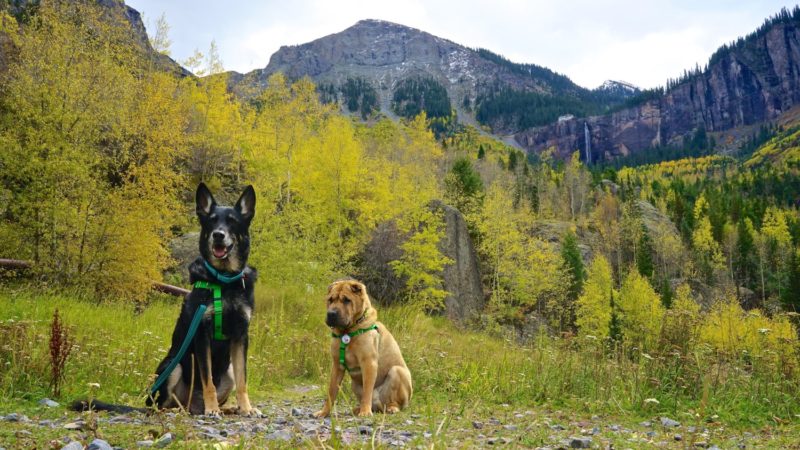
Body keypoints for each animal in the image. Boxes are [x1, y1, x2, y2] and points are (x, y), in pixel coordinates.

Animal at [72, 183, 258, 414]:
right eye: (211, 220)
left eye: (232, 221)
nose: (218, 235)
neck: (223, 281)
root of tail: (192, 405)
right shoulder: (202, 335)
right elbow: (208, 381)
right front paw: (212, 409)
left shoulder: (241, 335)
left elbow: (243, 380)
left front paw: (247, 408)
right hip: (171, 366)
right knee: (163, 405)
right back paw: (187, 410)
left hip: (227, 371)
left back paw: (228, 408)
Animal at [312, 280, 412, 416]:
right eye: (330, 299)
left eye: (346, 300)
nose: (331, 314)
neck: (348, 331)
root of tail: (379, 407)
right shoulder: (337, 366)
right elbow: (331, 392)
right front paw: (324, 412)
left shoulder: (369, 363)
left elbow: (367, 391)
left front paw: (365, 412)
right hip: (354, 383)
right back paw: (357, 409)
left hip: (397, 371)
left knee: (394, 402)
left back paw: (390, 408)